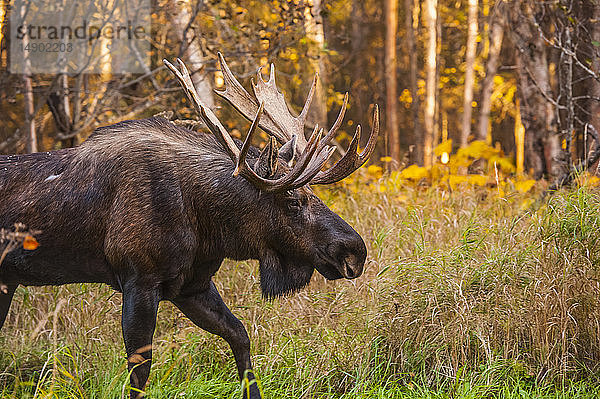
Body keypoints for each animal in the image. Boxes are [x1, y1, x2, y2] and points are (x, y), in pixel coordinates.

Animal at [0, 54, 378, 399]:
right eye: (293, 201)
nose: (355, 251)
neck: (208, 225)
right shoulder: (140, 280)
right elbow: (139, 372)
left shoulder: (191, 285)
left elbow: (240, 335)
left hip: (8, 281)